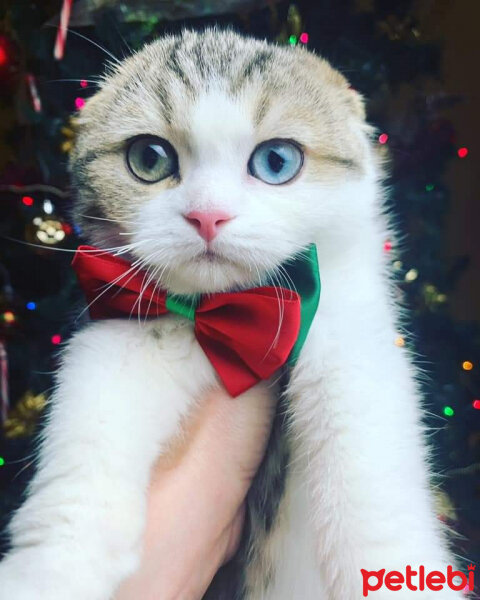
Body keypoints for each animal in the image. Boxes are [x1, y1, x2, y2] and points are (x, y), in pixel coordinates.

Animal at [0, 28, 464, 600]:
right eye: (149, 158)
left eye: (277, 161)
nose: (207, 215)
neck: (227, 316)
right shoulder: (121, 330)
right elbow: (86, 439)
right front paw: (49, 567)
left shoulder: (353, 337)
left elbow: (371, 474)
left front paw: (394, 563)